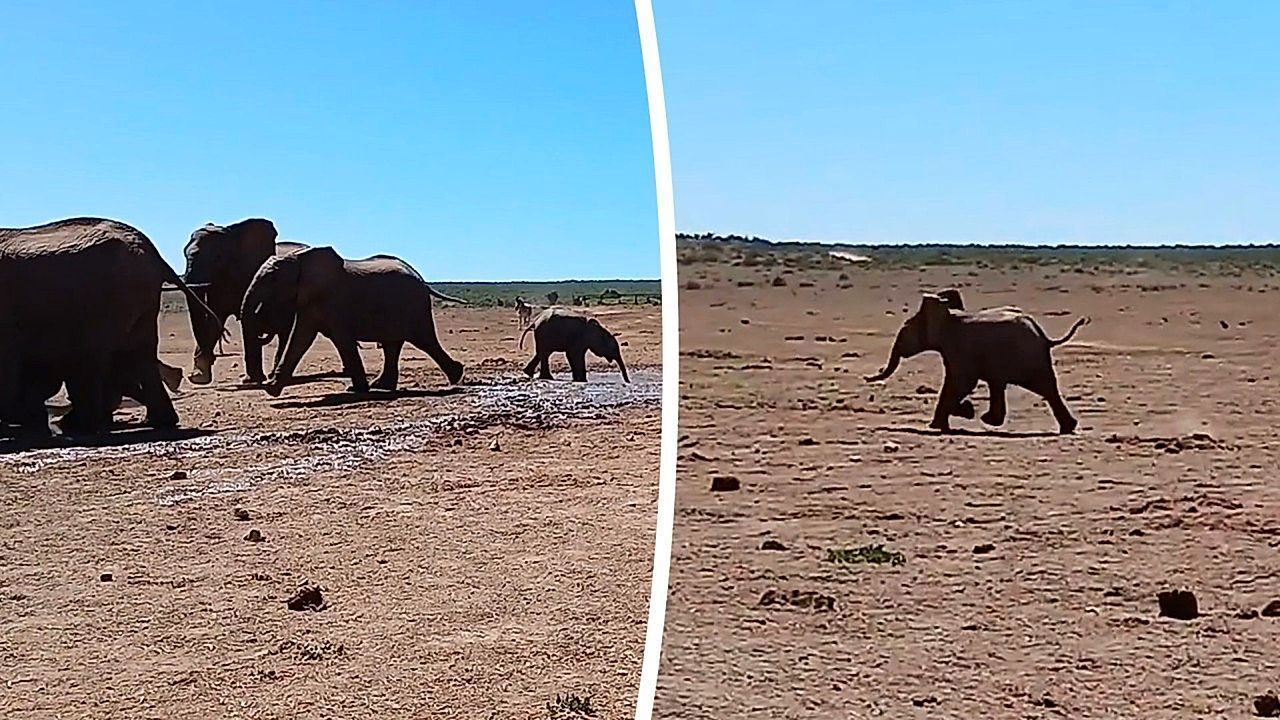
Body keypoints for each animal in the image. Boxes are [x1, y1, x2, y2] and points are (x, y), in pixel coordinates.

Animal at [0, 217, 217, 435]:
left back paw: (76, 426)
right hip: (139, 300)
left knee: (94, 357)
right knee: (140, 354)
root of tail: (151, 251)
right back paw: (157, 421)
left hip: (105, 299)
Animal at [180, 218, 310, 384]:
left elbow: (247, 319)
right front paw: (198, 378)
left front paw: (252, 380)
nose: (212, 358)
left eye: (218, 257)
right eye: (184, 254)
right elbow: (216, 316)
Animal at [241, 246, 467, 397]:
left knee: (423, 340)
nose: (263, 382)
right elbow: (301, 338)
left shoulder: (333, 302)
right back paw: (382, 386)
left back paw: (456, 375)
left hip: (414, 306)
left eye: (272, 279)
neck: (299, 258)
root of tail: (422, 280)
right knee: (392, 345)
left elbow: (341, 340)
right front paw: (272, 389)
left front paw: (356, 390)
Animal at [864, 289, 1089, 434]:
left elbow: (961, 382)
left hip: (1028, 358)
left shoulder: (958, 349)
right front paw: (963, 415)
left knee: (1044, 388)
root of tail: (1044, 336)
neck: (948, 314)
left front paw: (960, 415)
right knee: (1041, 388)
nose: (866, 377)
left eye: (906, 328)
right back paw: (1068, 428)